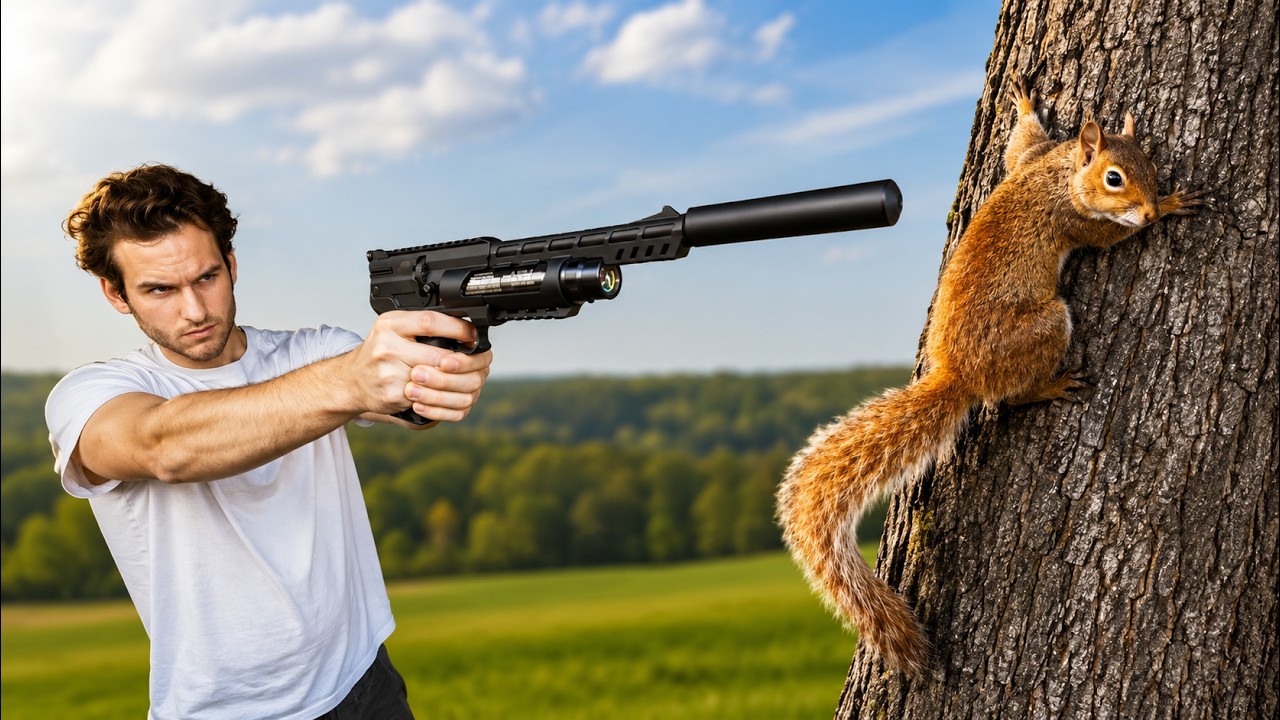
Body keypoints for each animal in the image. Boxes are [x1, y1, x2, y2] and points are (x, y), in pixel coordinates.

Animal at [776, 78, 1204, 676]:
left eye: (1153, 165)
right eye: (1115, 178)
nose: (1144, 210)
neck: (1061, 173)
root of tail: (960, 375)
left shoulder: (1031, 159)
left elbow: (1017, 145)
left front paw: (1024, 105)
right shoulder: (1079, 221)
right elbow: (1105, 237)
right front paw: (1170, 209)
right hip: (1047, 326)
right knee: (1009, 398)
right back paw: (1050, 386)